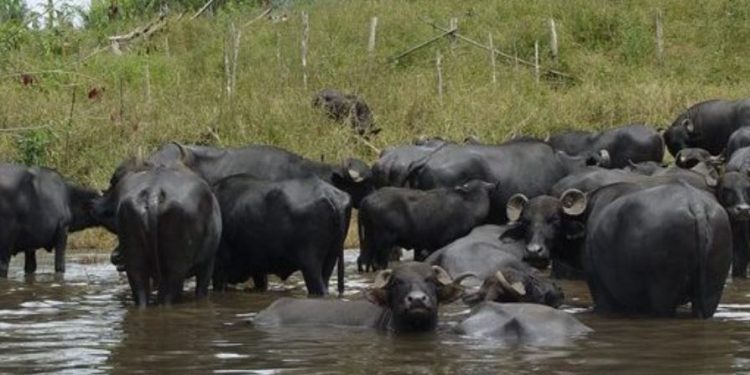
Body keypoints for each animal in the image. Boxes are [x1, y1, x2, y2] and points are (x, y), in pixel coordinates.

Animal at [360, 181, 500, 272]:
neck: (470, 206)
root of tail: (367, 200)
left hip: (368, 240)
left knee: (363, 262)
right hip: (384, 243)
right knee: (378, 264)